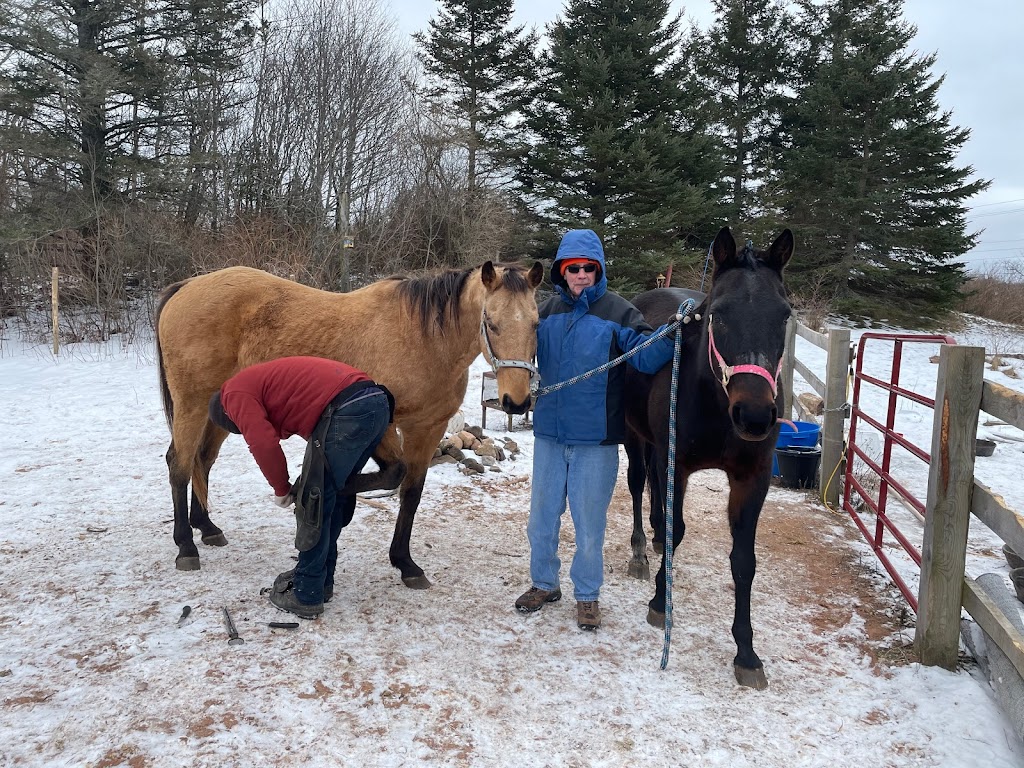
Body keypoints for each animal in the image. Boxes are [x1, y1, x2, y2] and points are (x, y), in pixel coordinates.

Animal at [153, 262, 544, 585]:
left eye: (537, 323)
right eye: (490, 322)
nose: (516, 401)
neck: (424, 339)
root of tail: (188, 285)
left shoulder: (426, 429)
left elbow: (410, 493)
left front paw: (405, 563)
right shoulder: (382, 423)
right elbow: (393, 473)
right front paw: (309, 490)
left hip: (219, 410)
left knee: (202, 461)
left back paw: (207, 527)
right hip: (192, 405)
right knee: (180, 465)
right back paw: (186, 546)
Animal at [618, 228, 794, 692]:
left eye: (784, 315)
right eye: (719, 313)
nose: (755, 415)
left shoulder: (752, 479)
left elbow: (744, 561)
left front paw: (746, 652)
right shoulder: (675, 463)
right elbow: (676, 528)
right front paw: (660, 600)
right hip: (636, 439)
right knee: (640, 484)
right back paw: (642, 551)